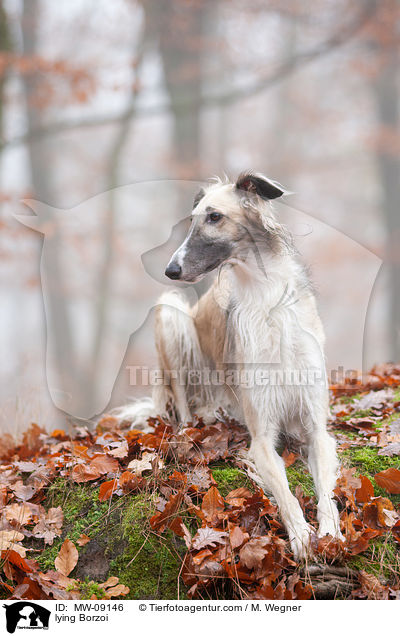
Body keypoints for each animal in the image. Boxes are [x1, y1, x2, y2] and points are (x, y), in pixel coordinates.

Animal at [118, 173, 340, 556]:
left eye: (214, 217)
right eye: (193, 219)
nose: (170, 270)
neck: (266, 299)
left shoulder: (316, 427)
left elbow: (325, 487)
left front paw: (331, 531)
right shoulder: (262, 438)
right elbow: (284, 493)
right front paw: (300, 534)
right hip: (170, 311)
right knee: (182, 408)